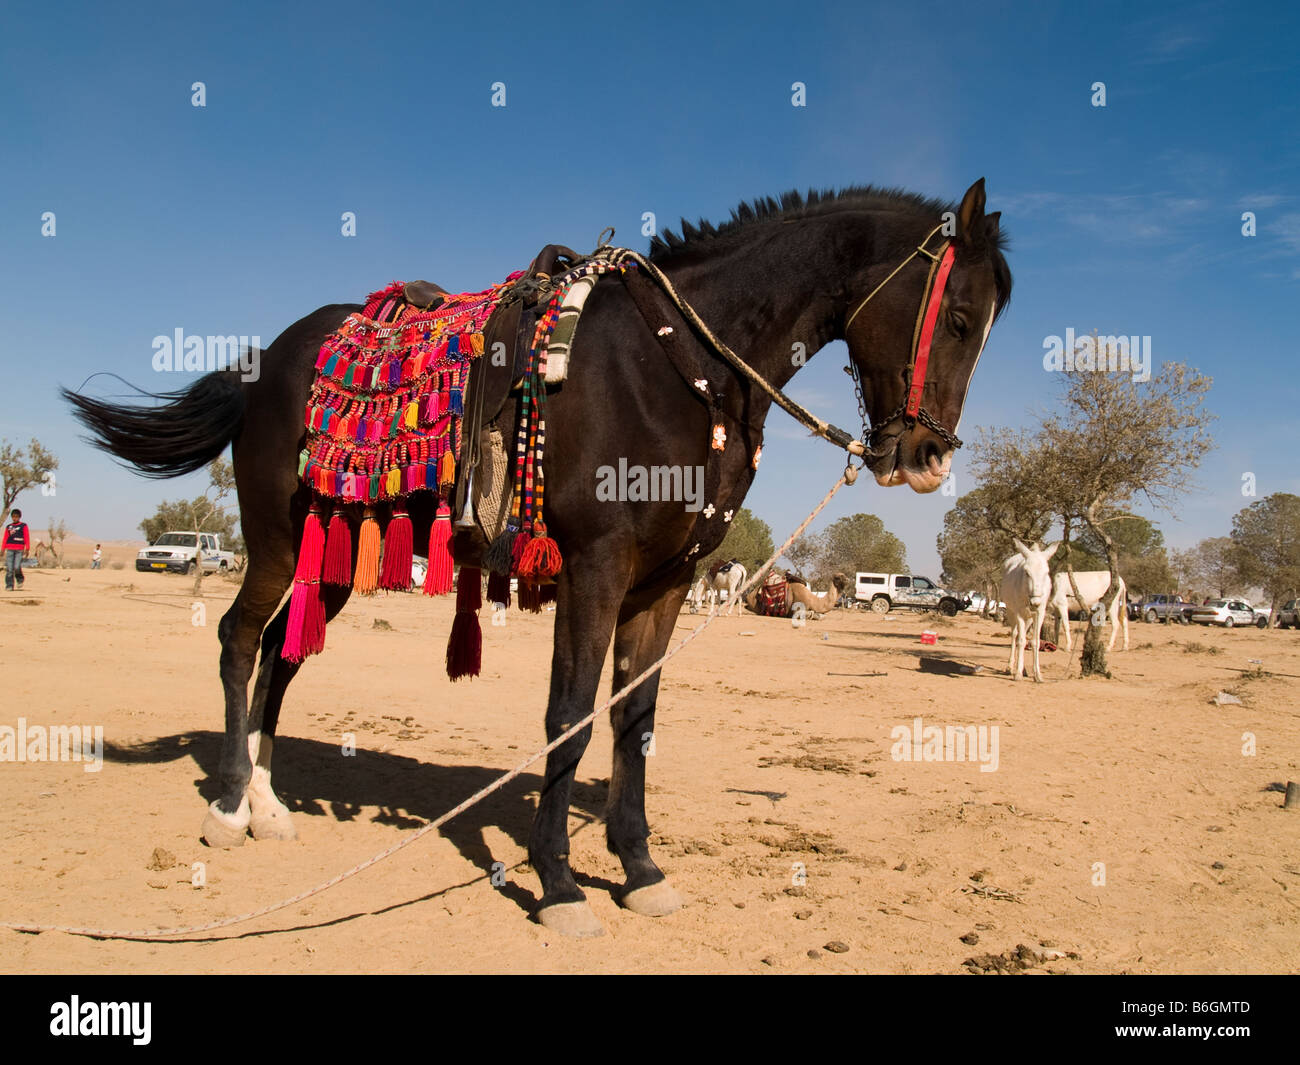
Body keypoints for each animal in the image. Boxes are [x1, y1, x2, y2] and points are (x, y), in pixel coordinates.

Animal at [65, 179, 1008, 936]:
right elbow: (572, 716)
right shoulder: (596, 568)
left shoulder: (664, 584)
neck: (679, 360)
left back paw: (267, 805)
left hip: (327, 558)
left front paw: (640, 869)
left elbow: (634, 720)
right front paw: (559, 882)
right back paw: (228, 807)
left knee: (281, 653)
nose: (929, 458)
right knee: (236, 640)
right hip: (274, 540)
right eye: (960, 319)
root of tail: (267, 362)